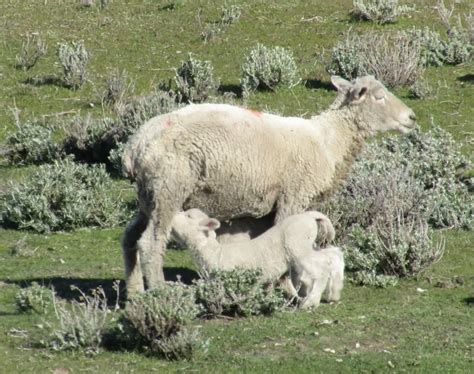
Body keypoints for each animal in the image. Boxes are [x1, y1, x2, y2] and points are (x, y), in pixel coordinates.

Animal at [121, 74, 414, 296]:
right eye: (379, 96)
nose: (411, 117)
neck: (328, 141)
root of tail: (135, 146)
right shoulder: (294, 195)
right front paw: (291, 288)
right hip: (168, 188)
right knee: (151, 243)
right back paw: (159, 292)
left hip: (150, 195)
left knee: (130, 238)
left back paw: (134, 294)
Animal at [170, 209, 344, 308]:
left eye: (188, 215)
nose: (173, 213)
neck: (213, 252)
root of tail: (310, 216)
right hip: (307, 246)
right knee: (334, 255)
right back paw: (334, 294)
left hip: (298, 247)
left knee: (322, 269)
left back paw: (310, 302)